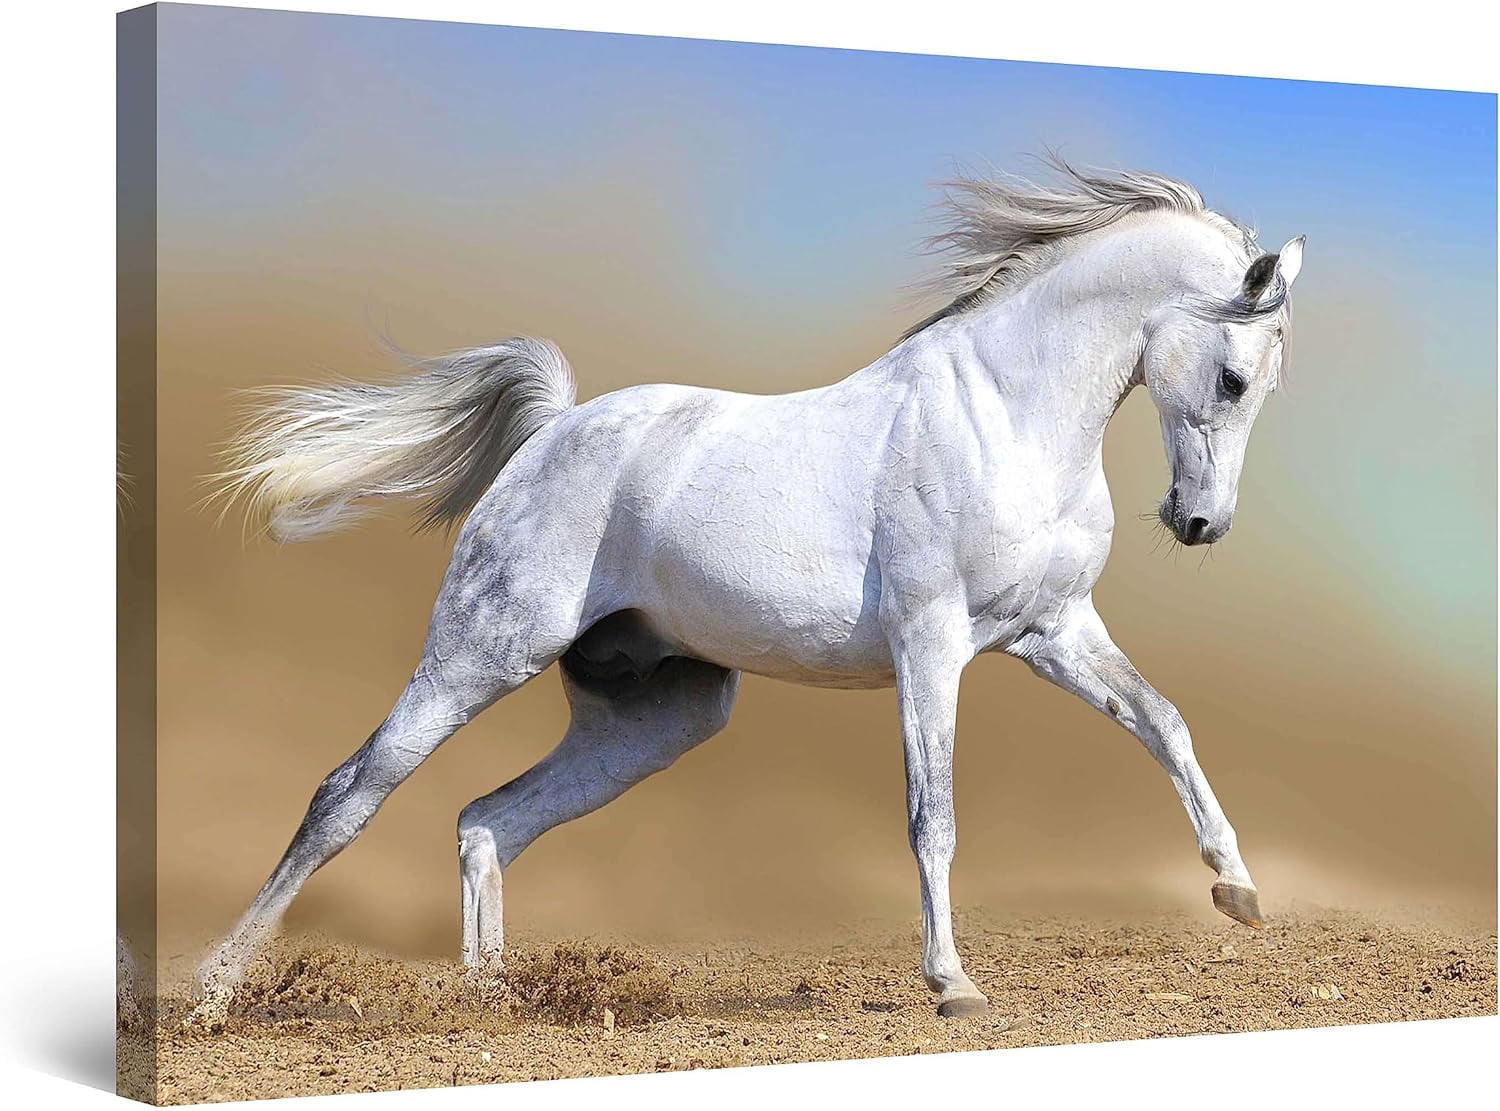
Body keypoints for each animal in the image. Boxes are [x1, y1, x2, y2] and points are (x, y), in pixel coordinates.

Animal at [198, 159, 1305, 1019]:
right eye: (1235, 378)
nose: (1200, 523)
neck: (1005, 415)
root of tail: (554, 430)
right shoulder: (931, 644)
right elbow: (933, 812)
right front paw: (951, 982)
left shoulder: (1053, 631)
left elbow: (1163, 722)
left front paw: (1239, 892)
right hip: (481, 651)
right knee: (348, 794)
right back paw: (215, 989)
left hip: (656, 717)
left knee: (486, 820)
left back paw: (492, 1000)